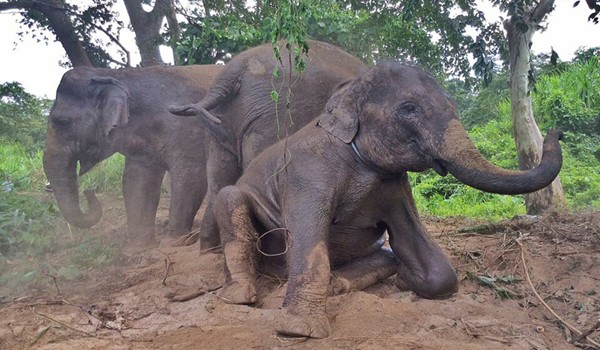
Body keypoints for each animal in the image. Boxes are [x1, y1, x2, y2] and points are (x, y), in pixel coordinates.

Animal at [44, 64, 223, 242]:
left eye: (62, 122)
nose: (89, 190)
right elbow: (136, 181)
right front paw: (140, 245)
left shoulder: (187, 124)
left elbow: (190, 175)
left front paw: (176, 241)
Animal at [210, 61, 564, 338]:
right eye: (409, 108)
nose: (556, 131)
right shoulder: (307, 174)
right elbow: (307, 238)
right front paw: (299, 331)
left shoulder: (396, 187)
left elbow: (420, 249)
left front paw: (407, 282)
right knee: (228, 199)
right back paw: (239, 296)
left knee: (388, 255)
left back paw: (341, 284)